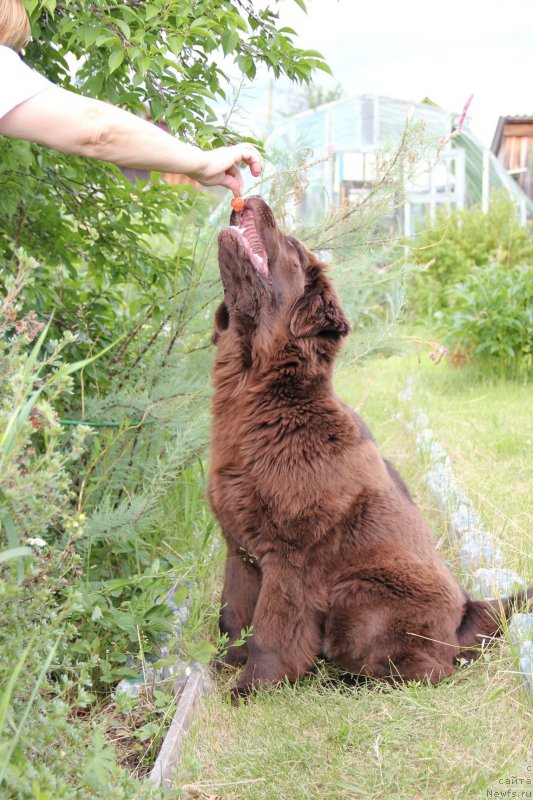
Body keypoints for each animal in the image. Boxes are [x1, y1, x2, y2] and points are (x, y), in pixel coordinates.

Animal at [207, 197, 528, 696]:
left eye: (291, 247)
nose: (254, 198)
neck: (258, 396)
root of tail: (467, 611)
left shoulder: (290, 556)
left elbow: (272, 630)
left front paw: (252, 688)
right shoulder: (239, 547)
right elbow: (233, 615)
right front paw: (225, 664)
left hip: (358, 596)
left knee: (429, 669)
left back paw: (345, 680)